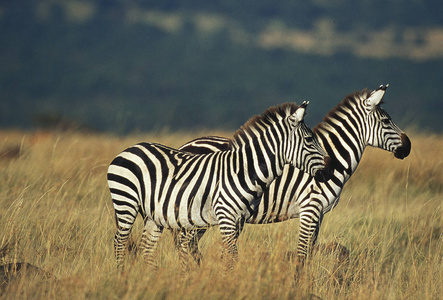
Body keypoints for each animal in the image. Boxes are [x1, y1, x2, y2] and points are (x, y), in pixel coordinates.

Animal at [107, 101, 332, 270]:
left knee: (146, 247)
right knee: (119, 242)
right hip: (125, 201)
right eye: (309, 139)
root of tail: (131, 148)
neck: (243, 171)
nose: (330, 171)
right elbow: (231, 256)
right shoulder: (226, 215)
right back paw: (122, 276)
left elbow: (228, 255)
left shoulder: (239, 218)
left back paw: (151, 278)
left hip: (153, 213)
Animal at [174, 85, 412, 268]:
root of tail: (185, 145)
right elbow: (302, 255)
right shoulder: (309, 209)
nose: (408, 146)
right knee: (185, 245)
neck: (332, 157)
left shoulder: (319, 214)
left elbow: (310, 253)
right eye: (387, 121)